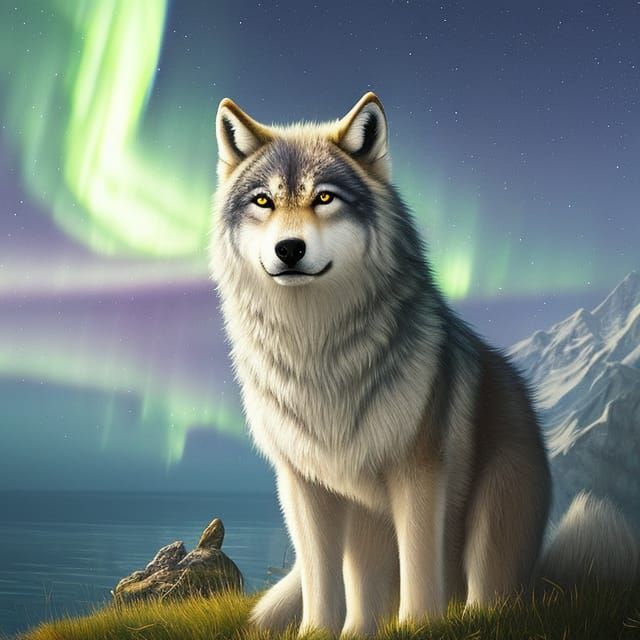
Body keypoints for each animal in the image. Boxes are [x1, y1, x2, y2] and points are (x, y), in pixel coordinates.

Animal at [209, 92, 639, 636]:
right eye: (263, 201)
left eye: (324, 198)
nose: (289, 249)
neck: (318, 350)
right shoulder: (303, 483)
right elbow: (320, 577)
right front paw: (316, 633)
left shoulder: (418, 470)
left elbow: (418, 559)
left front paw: (416, 625)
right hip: (364, 524)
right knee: (360, 594)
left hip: (492, 512)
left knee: (488, 595)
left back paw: (471, 613)